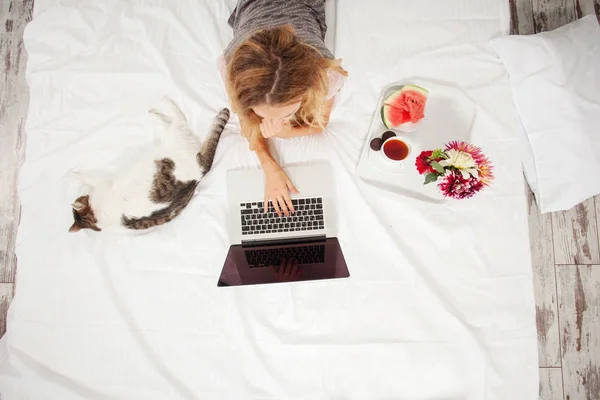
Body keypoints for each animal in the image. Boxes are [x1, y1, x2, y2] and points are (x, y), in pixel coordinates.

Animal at [68, 97, 230, 233]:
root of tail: (201, 171)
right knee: (175, 121)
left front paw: (71, 175)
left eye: (78, 199)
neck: (97, 219)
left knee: (179, 119)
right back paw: (155, 113)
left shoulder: (104, 182)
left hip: (173, 138)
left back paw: (161, 105)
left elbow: (87, 177)